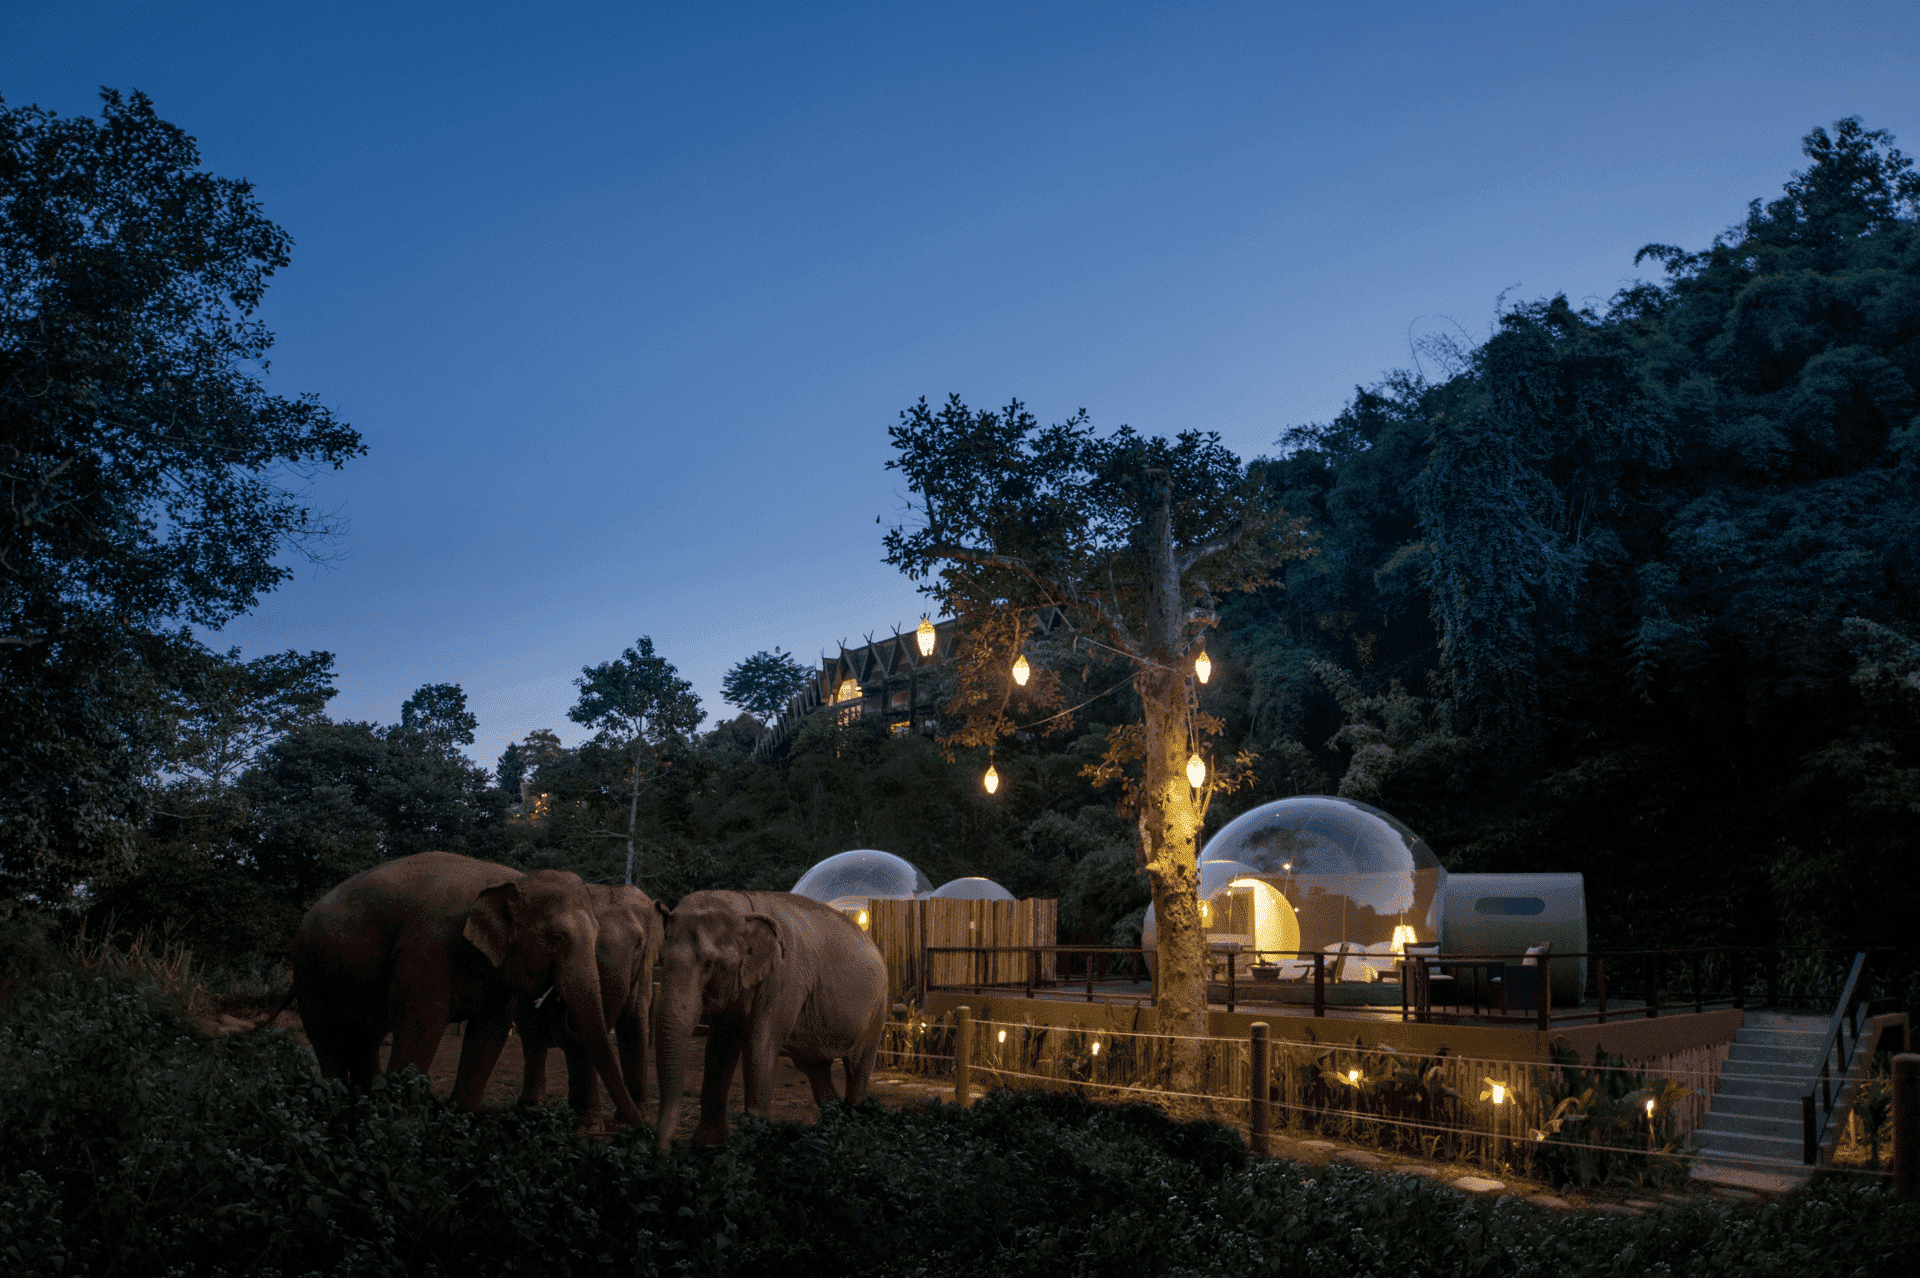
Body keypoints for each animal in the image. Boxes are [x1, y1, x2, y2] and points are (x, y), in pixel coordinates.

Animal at [282, 852, 645, 1120]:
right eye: (555, 938)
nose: (640, 1127)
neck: (514, 880)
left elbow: (490, 1031)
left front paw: (458, 1114)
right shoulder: (426, 950)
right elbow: (421, 1025)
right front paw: (400, 1113)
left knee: (367, 1034)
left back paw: (362, 1097)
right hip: (307, 964)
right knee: (325, 1031)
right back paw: (335, 1098)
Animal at [645, 886, 883, 1143]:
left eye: (710, 963)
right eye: (661, 959)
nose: (662, 1147)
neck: (743, 906)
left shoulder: (784, 979)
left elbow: (759, 1044)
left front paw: (755, 1139)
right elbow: (720, 1047)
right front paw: (707, 1143)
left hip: (877, 1009)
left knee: (858, 1065)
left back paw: (857, 1122)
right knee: (815, 1068)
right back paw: (833, 1125)